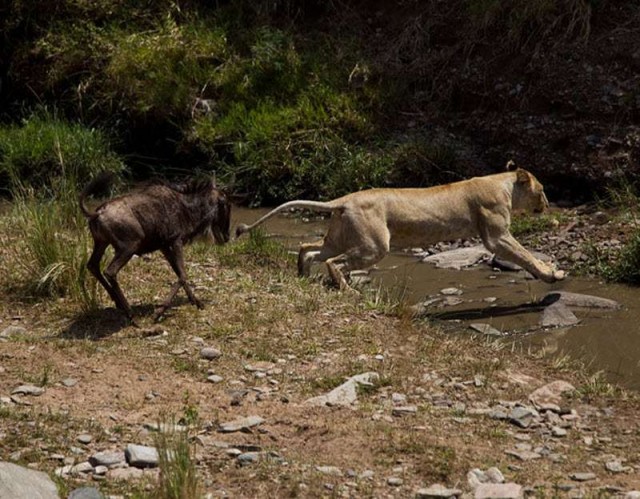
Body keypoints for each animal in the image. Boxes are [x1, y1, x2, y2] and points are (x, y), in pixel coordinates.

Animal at [79, 174, 231, 322]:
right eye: (226, 205)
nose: (227, 236)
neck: (187, 209)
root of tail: (97, 213)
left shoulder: (164, 246)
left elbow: (178, 272)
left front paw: (197, 302)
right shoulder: (176, 240)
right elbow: (183, 274)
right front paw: (160, 311)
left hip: (101, 243)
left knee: (93, 265)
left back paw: (118, 303)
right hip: (128, 247)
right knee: (110, 271)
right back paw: (130, 314)